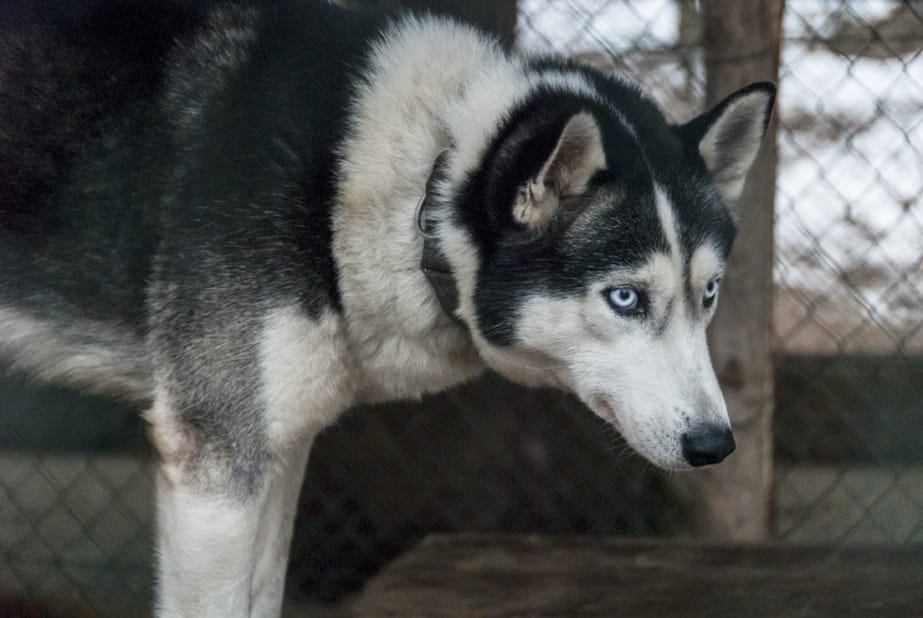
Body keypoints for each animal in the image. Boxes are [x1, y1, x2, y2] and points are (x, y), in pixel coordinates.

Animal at [1, 2, 772, 612]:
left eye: (707, 294)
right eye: (625, 298)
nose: (715, 445)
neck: (417, 182)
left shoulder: (279, 451)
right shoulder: (215, 469)